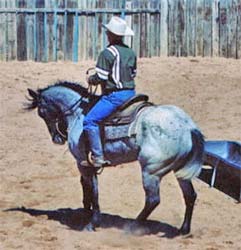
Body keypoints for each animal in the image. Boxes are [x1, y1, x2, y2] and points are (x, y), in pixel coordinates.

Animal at [25, 81, 204, 234]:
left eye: (41, 112)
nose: (57, 139)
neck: (79, 112)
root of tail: (187, 126)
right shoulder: (86, 165)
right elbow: (86, 188)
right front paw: (86, 215)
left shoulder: (83, 163)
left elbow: (93, 191)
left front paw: (92, 223)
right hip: (179, 171)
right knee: (190, 196)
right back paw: (183, 230)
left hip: (150, 171)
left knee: (153, 200)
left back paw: (131, 227)